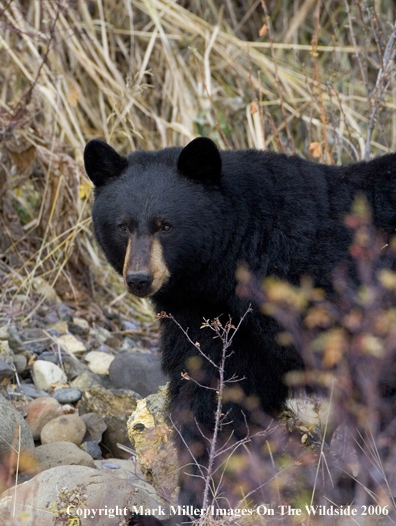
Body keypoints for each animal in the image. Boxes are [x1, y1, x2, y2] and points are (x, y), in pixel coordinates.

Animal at [83, 137, 396, 524]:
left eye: (165, 226)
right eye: (122, 226)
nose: (140, 278)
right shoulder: (215, 319)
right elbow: (212, 398)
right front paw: (194, 502)